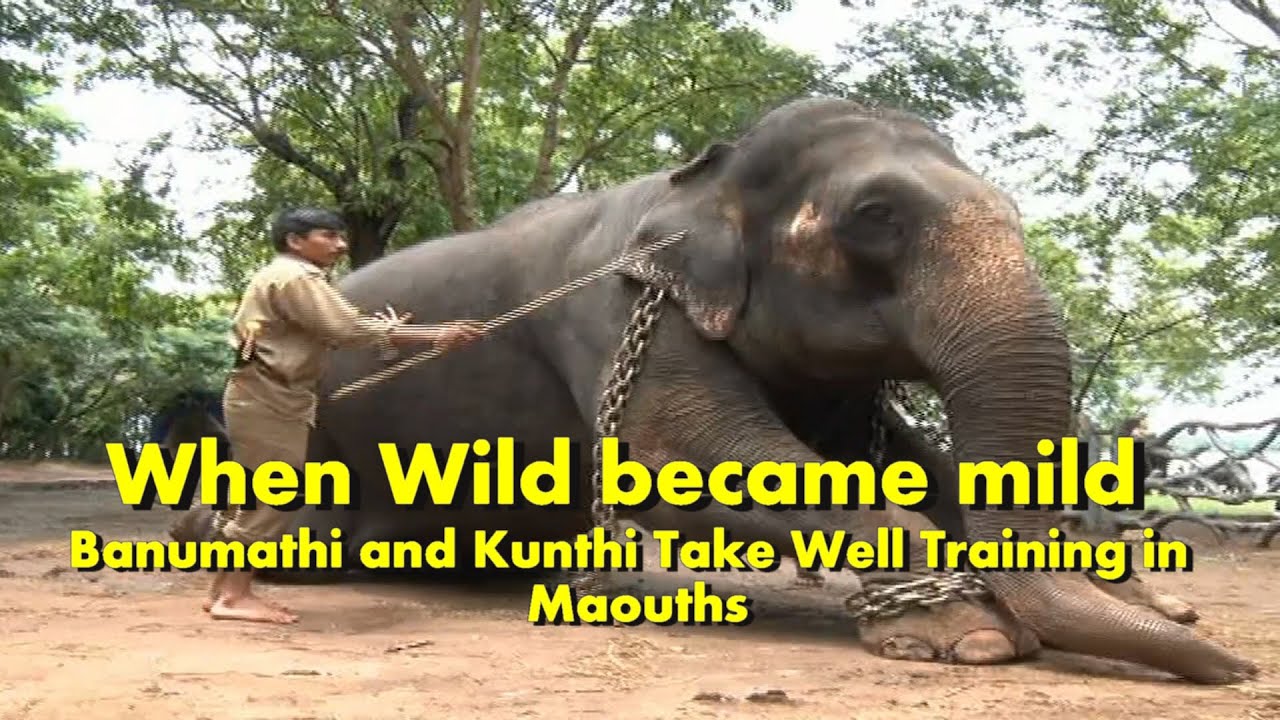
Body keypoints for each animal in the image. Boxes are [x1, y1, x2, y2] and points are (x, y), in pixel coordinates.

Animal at [170, 97, 1255, 684]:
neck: (694, 177)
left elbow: (909, 464)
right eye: (874, 216)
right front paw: (972, 636)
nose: (1241, 667)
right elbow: (682, 459)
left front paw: (1147, 599)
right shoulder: (616, 307)